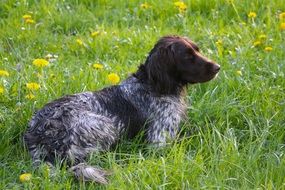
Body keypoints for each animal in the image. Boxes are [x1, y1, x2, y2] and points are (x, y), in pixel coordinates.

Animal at [24, 35, 220, 183]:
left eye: (198, 50)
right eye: (188, 57)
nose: (218, 67)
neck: (150, 85)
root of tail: (38, 137)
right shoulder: (159, 142)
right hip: (106, 126)